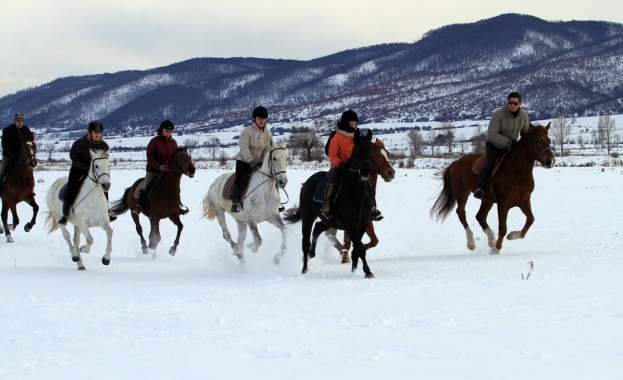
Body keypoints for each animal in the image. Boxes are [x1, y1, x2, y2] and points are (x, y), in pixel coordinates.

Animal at [284, 129, 376, 278]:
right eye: (355, 150)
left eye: (370, 150)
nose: (365, 170)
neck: (357, 193)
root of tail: (307, 183)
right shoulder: (350, 225)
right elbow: (360, 248)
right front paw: (368, 272)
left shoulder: (361, 225)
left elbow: (357, 249)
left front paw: (354, 271)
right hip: (308, 218)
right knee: (305, 242)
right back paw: (304, 269)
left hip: (329, 221)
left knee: (318, 228)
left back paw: (312, 253)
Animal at [428, 123, 556, 254]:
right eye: (537, 141)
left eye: (549, 140)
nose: (549, 161)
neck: (518, 172)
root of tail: (456, 162)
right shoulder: (503, 203)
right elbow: (503, 227)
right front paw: (496, 249)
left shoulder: (524, 201)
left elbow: (530, 220)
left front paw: (511, 236)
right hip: (462, 193)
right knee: (461, 213)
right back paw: (471, 243)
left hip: (487, 199)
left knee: (480, 216)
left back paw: (491, 239)